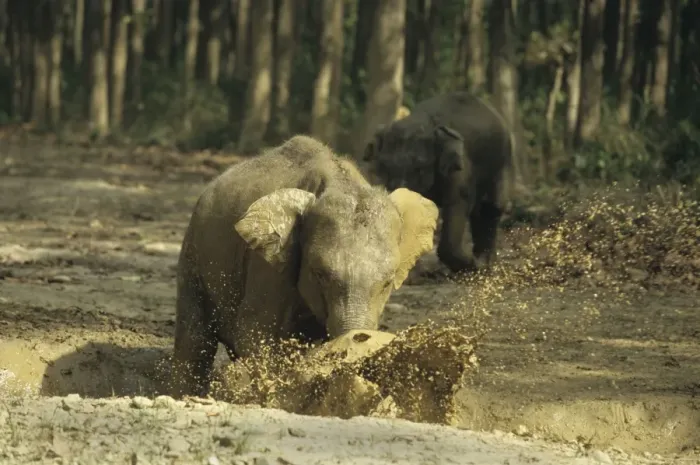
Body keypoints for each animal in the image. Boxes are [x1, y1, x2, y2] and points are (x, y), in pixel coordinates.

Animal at [171, 135, 439, 398]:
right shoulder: (266, 265)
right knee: (195, 336)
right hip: (193, 252)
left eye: (387, 282)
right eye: (319, 274)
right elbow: (254, 329)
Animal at [363, 91, 513, 274]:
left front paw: (470, 265)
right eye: (384, 166)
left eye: (420, 168)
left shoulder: (460, 168)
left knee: (491, 206)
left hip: (503, 161)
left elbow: (457, 204)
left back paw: (483, 263)